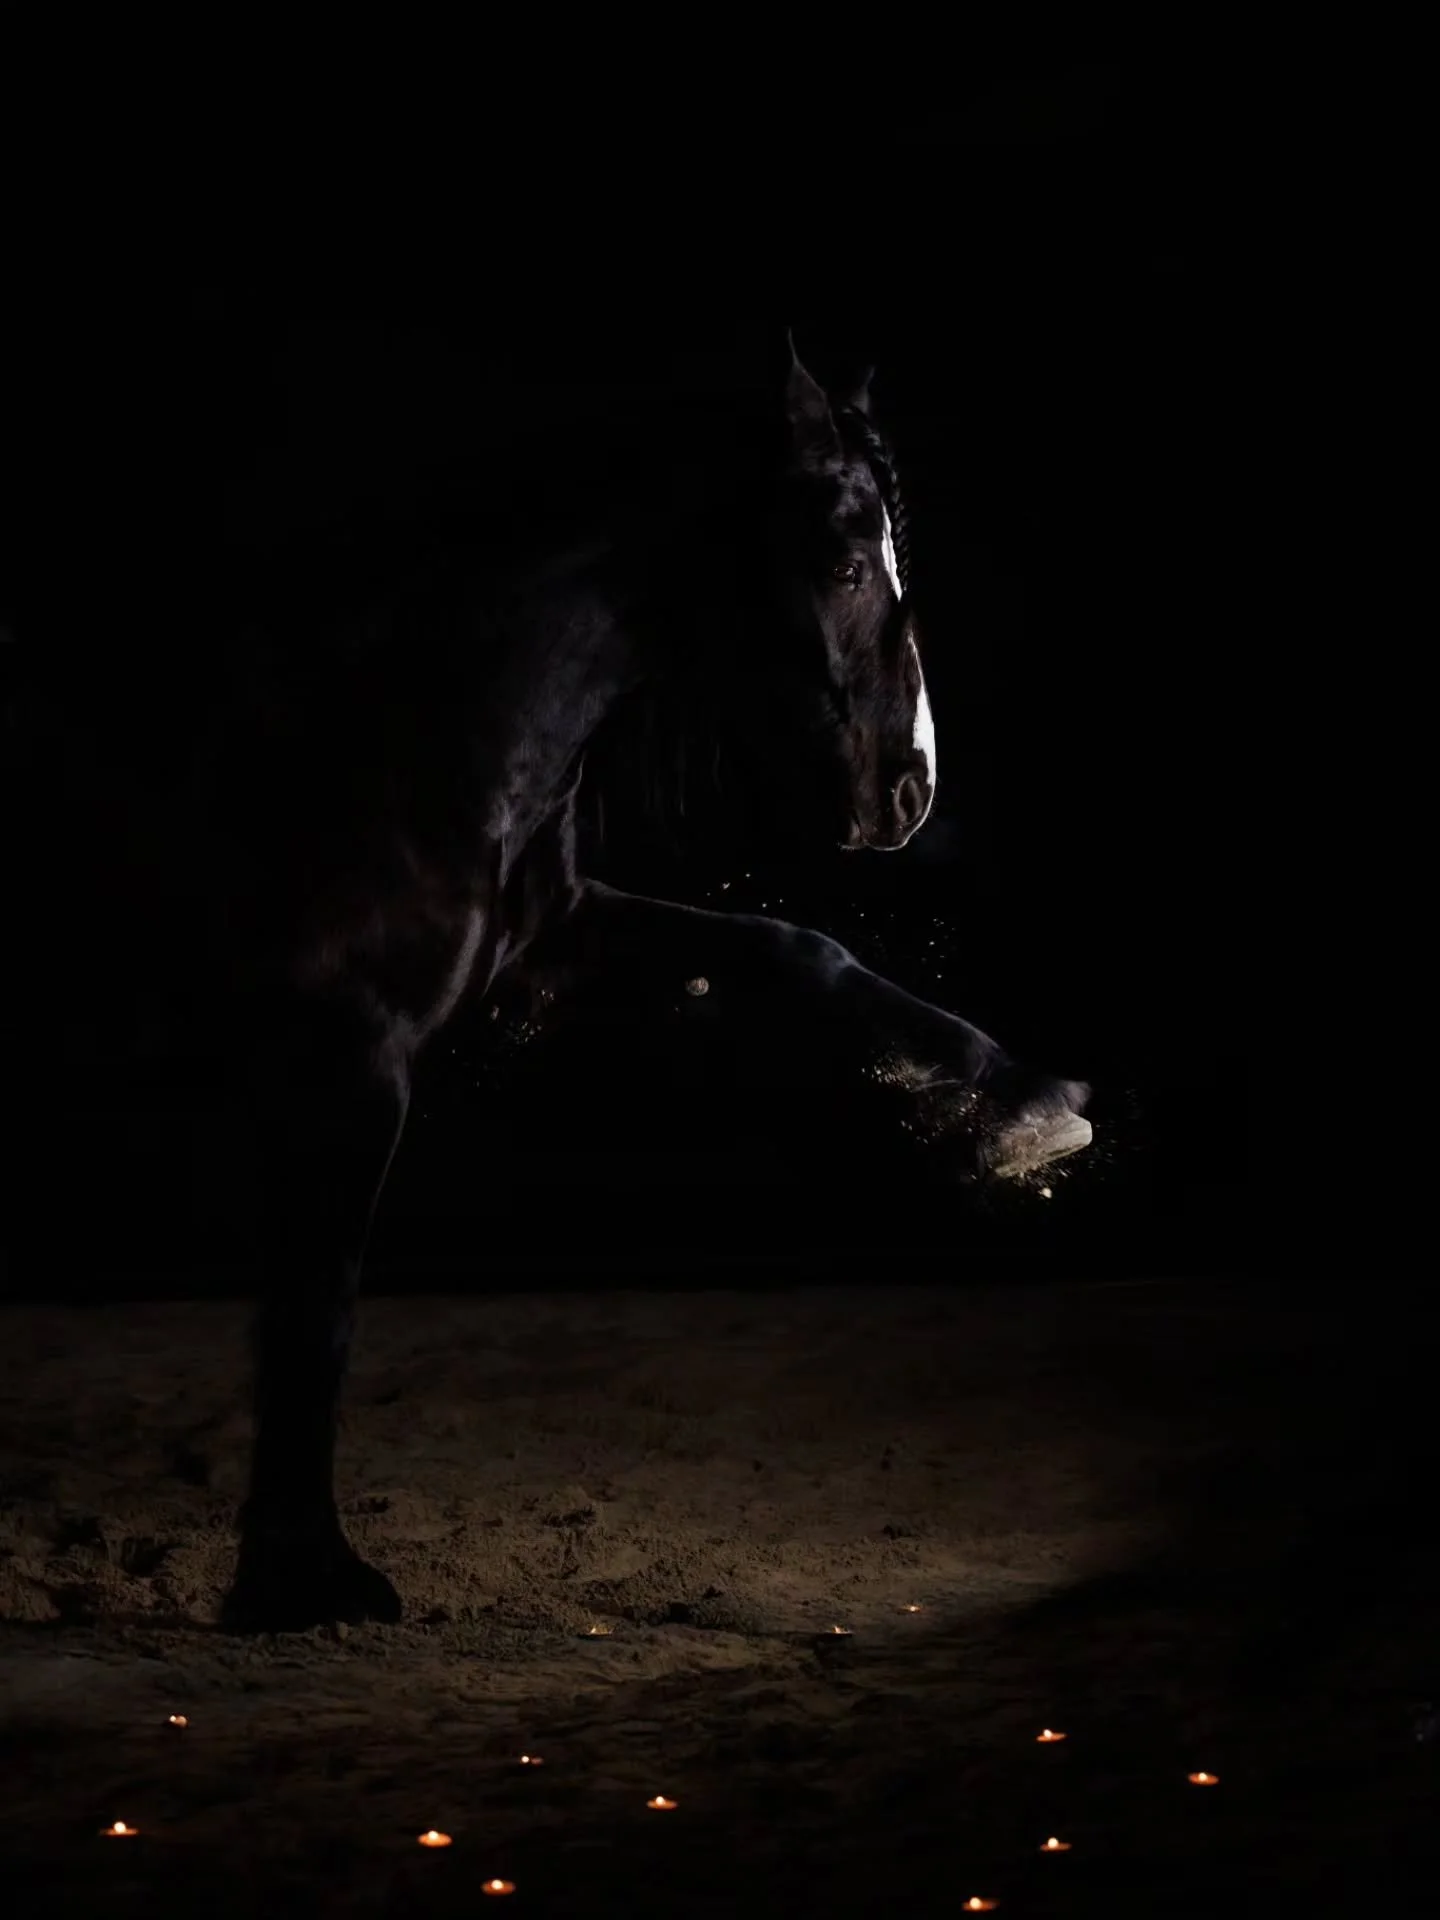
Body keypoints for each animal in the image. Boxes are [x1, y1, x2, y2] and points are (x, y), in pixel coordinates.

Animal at [4, 337, 1092, 1632]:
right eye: (839, 561)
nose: (910, 788)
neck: (391, 717)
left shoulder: (543, 947)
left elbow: (798, 953)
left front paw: (1021, 1112)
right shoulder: (348, 1065)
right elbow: (318, 1308)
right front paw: (303, 1574)